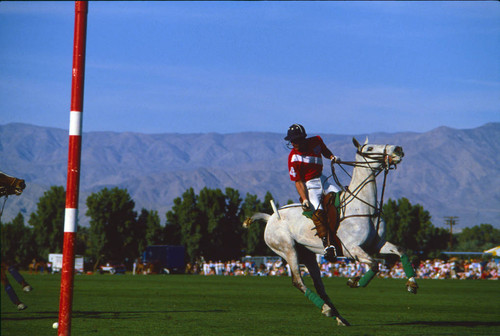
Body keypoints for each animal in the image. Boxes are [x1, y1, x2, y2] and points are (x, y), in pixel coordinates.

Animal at [244, 137, 416, 326]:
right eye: (370, 148)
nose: (398, 149)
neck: (363, 207)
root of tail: (271, 218)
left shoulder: (376, 244)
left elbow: (400, 250)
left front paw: (412, 283)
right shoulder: (352, 249)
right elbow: (375, 265)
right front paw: (354, 281)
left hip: (308, 254)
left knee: (320, 286)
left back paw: (338, 316)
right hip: (287, 249)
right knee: (298, 281)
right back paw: (327, 309)